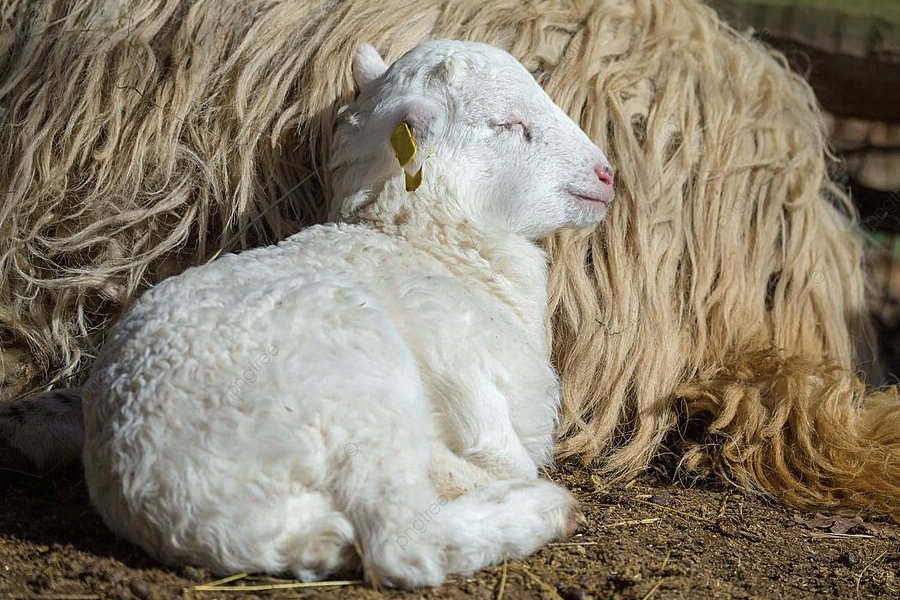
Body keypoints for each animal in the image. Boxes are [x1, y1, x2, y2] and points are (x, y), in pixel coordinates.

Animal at [82, 39, 612, 588]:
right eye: (508, 124)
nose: (606, 174)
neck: (426, 243)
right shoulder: (459, 363)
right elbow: (499, 448)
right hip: (357, 387)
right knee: (404, 540)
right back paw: (540, 508)